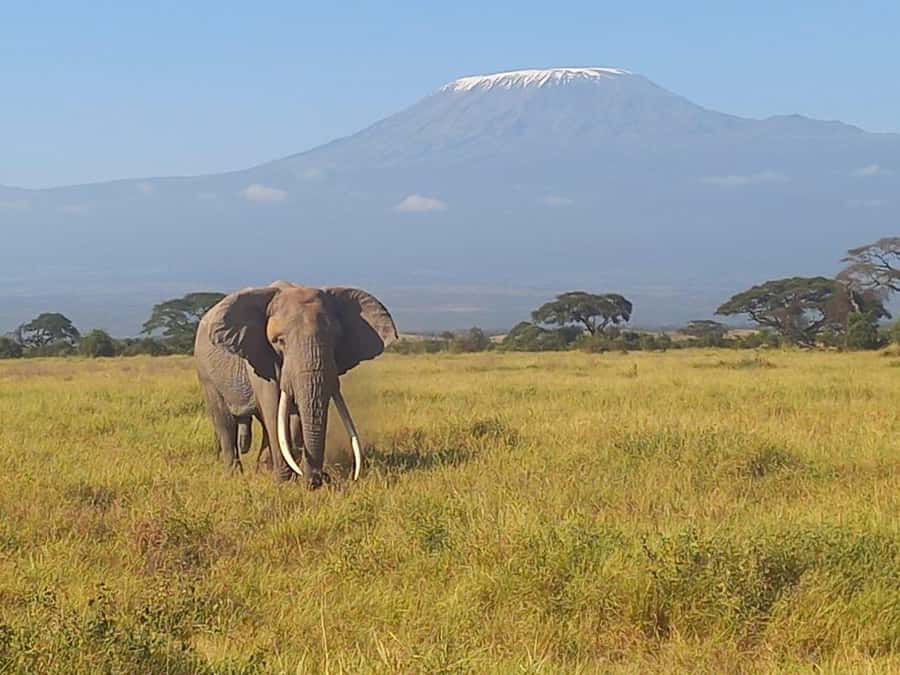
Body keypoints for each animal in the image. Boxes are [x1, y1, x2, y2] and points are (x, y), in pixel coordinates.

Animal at [195, 281, 397, 487]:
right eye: (280, 341)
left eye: (336, 339)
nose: (319, 479)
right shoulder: (258, 356)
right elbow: (273, 409)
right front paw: (283, 482)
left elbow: (293, 418)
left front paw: (295, 479)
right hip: (206, 373)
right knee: (225, 422)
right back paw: (234, 475)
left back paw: (263, 470)